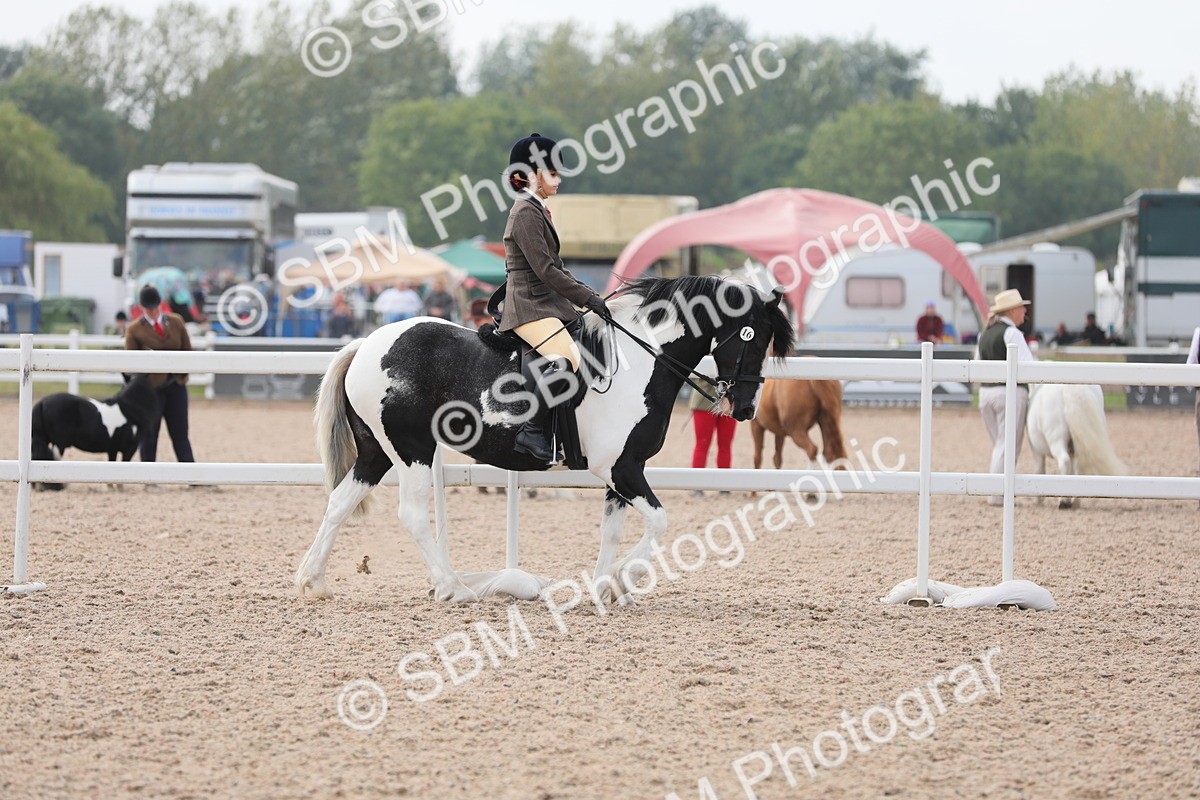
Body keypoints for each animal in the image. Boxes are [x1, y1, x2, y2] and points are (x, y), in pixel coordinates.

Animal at [31, 373, 160, 491]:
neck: (129, 410)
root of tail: (42, 402)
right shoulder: (130, 448)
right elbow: (123, 463)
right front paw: (120, 487)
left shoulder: (112, 449)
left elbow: (112, 463)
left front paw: (111, 487)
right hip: (59, 444)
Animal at [295, 275, 793, 603]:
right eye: (752, 337)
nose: (745, 408)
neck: (637, 362)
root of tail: (366, 344)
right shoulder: (621, 469)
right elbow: (659, 521)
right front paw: (625, 578)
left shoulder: (624, 471)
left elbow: (612, 531)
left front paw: (602, 588)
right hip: (412, 450)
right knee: (412, 515)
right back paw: (454, 587)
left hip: (377, 451)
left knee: (339, 503)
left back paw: (313, 581)